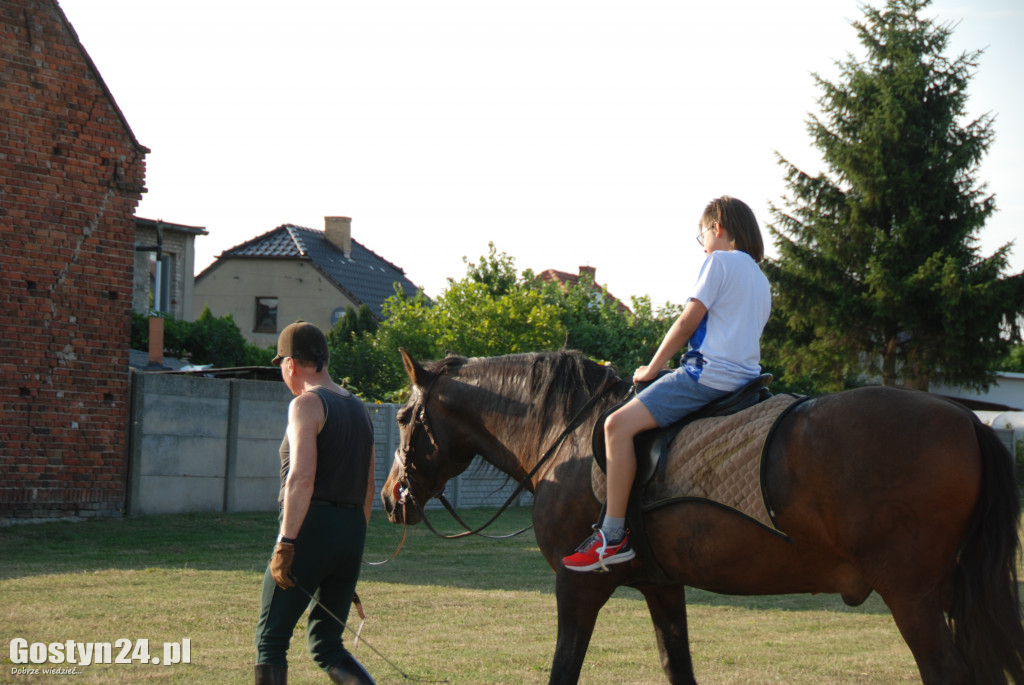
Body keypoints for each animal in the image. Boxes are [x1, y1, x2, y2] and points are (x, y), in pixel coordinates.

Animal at [382, 350, 1024, 679]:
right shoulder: (663, 588)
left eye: (402, 418)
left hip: (912, 596)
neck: (569, 438)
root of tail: (966, 419)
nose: (390, 497)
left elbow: (564, 670)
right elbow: (678, 668)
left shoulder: (576, 588)